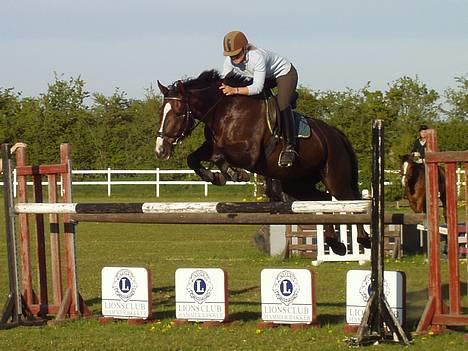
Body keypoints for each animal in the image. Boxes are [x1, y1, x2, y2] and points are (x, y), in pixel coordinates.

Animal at [155, 69, 372, 256]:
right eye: (160, 112)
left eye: (178, 112)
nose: (160, 150)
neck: (224, 110)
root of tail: (336, 134)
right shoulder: (211, 145)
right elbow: (193, 158)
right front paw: (215, 177)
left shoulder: (249, 153)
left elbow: (219, 156)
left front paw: (234, 174)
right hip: (297, 183)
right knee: (323, 201)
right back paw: (335, 243)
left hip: (335, 177)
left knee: (351, 201)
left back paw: (363, 240)